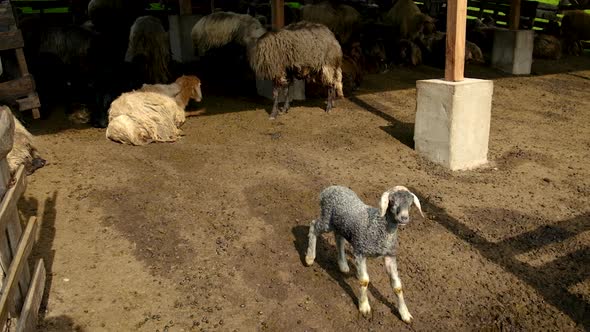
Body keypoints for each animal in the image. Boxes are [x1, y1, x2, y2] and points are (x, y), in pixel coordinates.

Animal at [306, 184, 426, 322]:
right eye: (392, 201)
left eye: (411, 204)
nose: (404, 218)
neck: (380, 227)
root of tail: (330, 189)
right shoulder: (360, 251)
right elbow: (364, 281)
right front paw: (364, 307)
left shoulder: (390, 255)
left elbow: (397, 286)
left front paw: (405, 313)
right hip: (327, 219)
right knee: (314, 226)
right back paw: (309, 258)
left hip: (341, 224)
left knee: (339, 238)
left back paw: (343, 265)